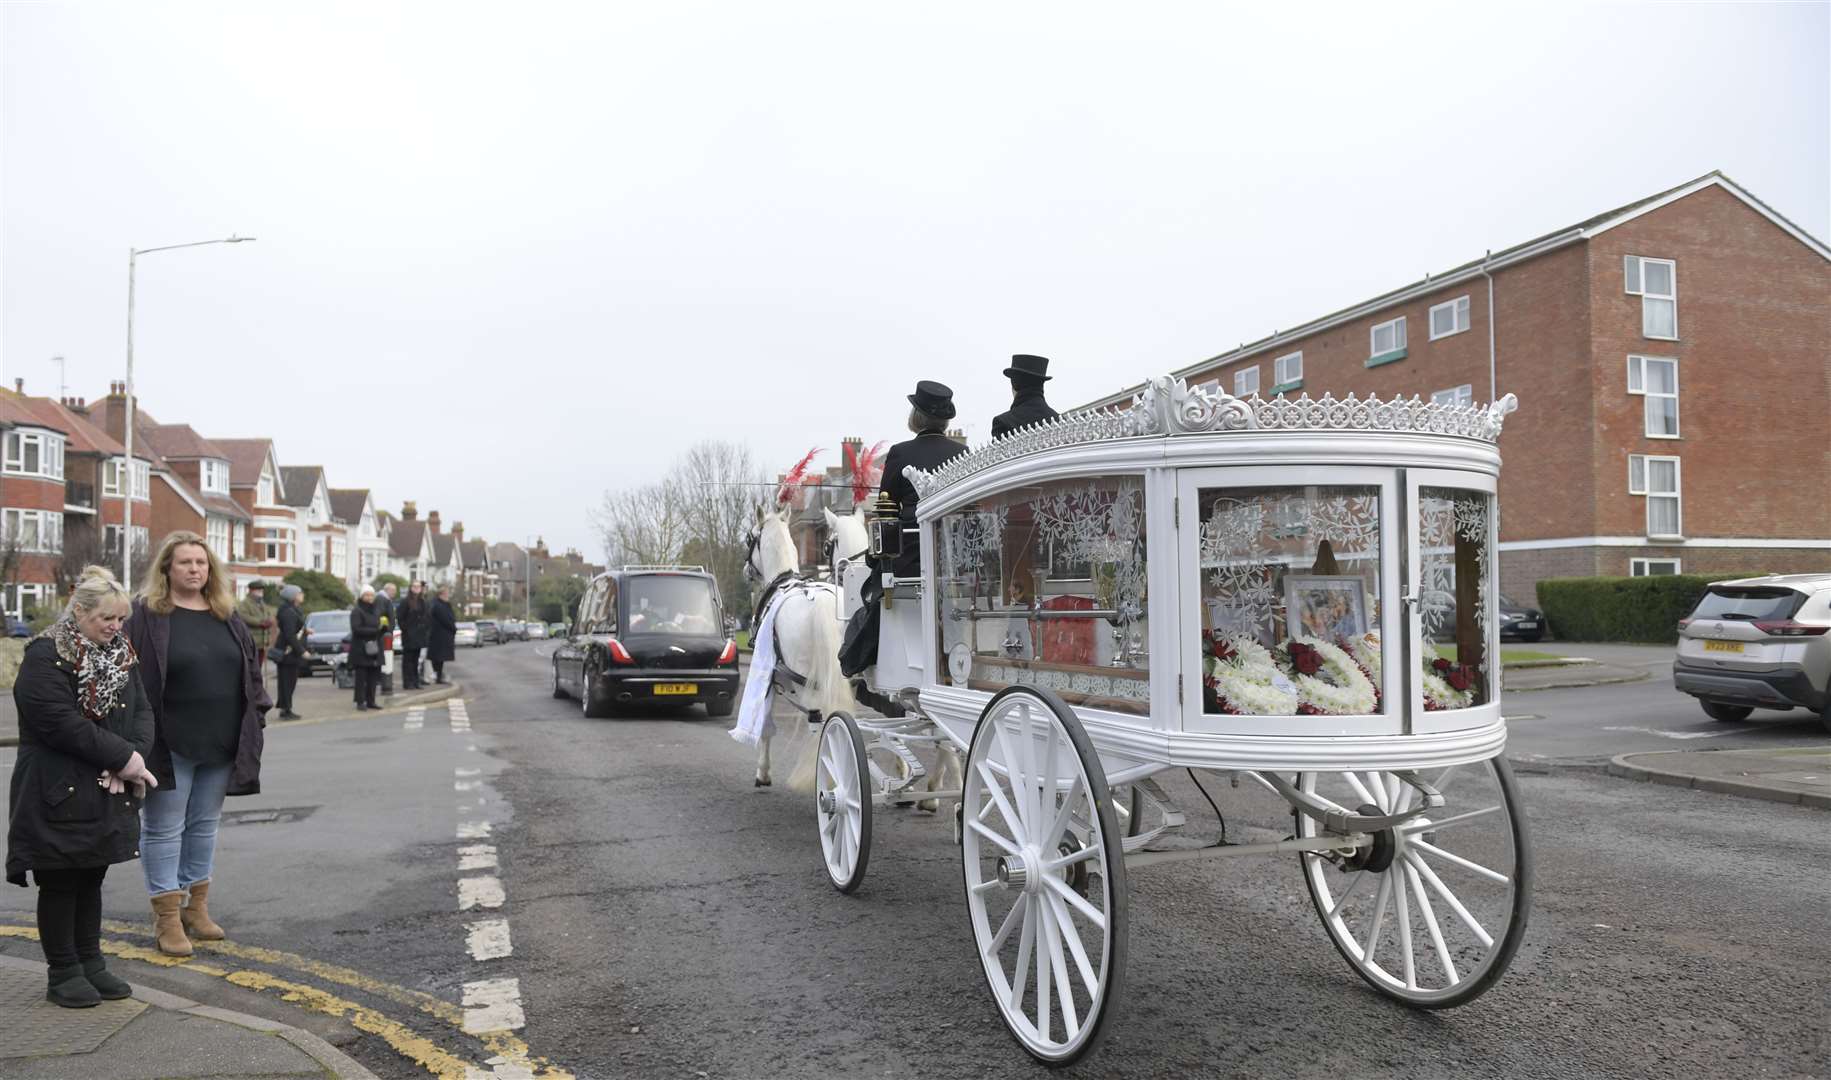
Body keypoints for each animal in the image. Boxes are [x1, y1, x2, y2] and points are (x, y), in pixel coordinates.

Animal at [739, 512, 853, 790]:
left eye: (749, 537)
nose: (745, 571)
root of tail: (823, 603)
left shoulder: (769, 681)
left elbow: (765, 728)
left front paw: (763, 773)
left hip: (810, 686)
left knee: (824, 730)